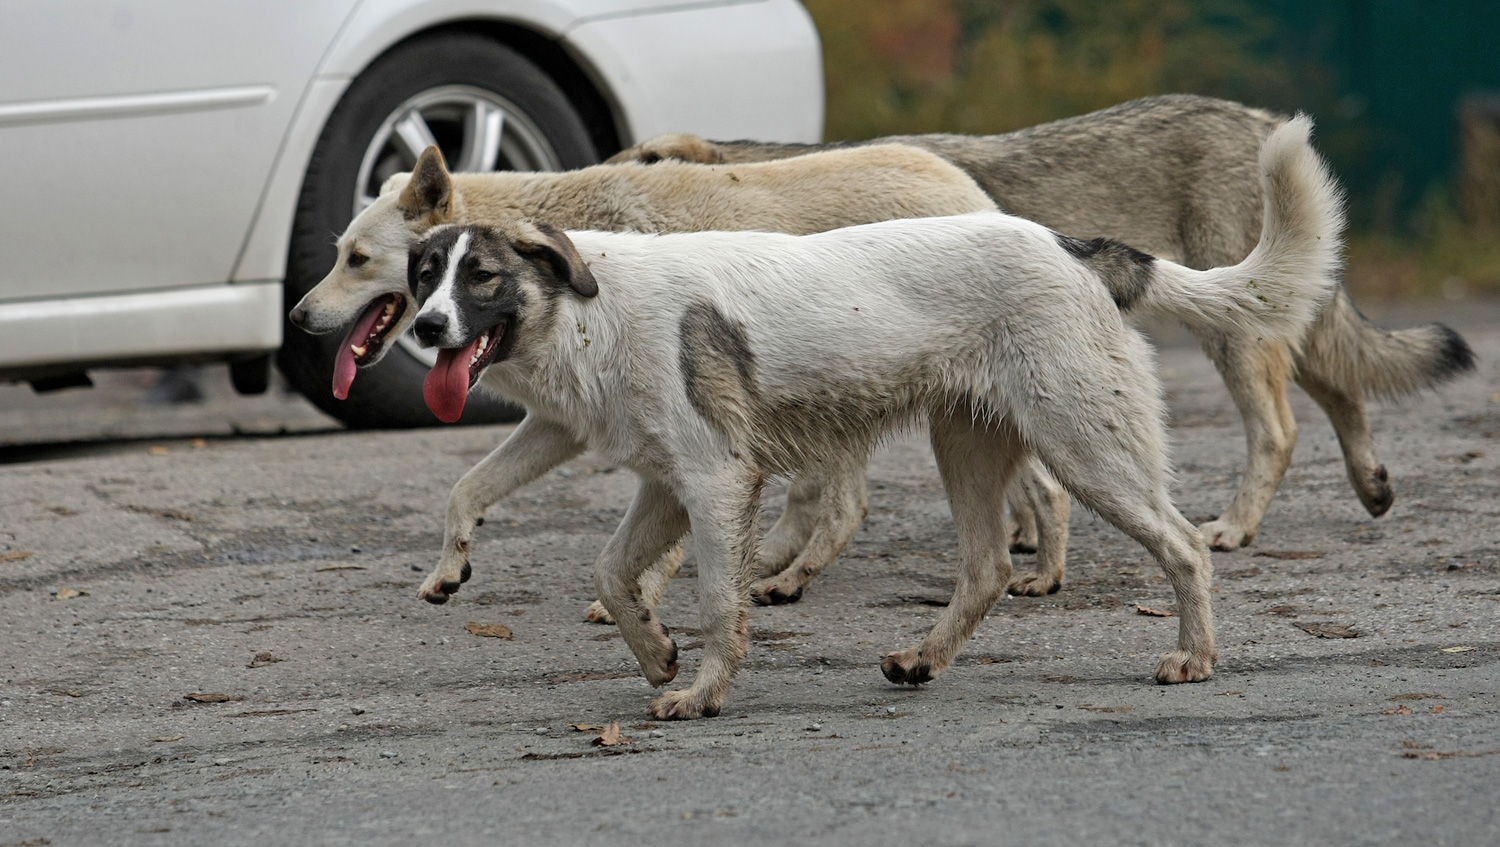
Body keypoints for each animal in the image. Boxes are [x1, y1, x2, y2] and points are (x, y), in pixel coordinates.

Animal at [405, 115, 1344, 716]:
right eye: (423, 276)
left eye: (481, 278)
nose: (424, 329)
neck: (593, 308)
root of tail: (1070, 245)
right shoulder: (668, 488)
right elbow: (610, 574)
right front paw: (656, 653)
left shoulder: (715, 484)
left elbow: (717, 601)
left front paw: (702, 690)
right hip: (968, 449)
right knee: (986, 569)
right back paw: (923, 658)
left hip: (1090, 451)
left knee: (1184, 545)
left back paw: (1196, 657)